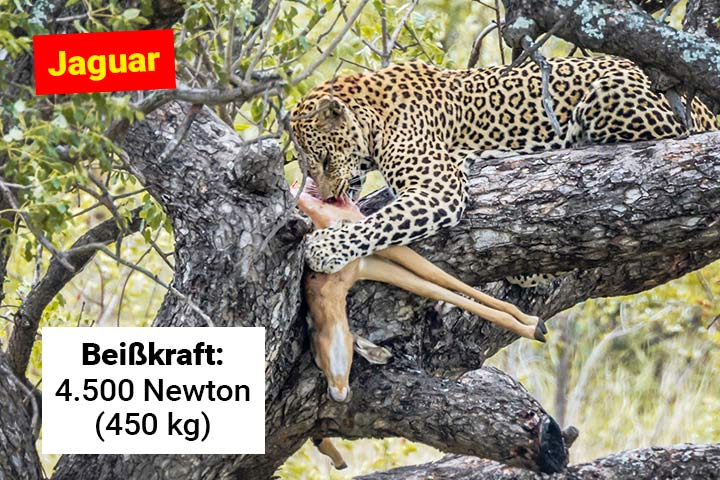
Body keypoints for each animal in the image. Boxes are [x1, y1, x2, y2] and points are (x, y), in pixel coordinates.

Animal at [291, 56, 718, 284]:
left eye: (324, 159)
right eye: (310, 166)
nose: (328, 194)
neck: (372, 111)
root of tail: (703, 106)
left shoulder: (439, 188)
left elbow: (379, 223)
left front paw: (325, 249)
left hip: (605, 99)